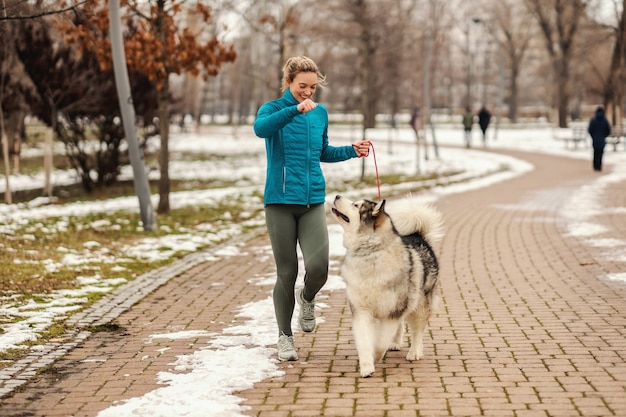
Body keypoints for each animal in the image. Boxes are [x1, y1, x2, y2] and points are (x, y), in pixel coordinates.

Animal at [330, 195, 442, 376]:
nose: (336, 196)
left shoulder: (392, 311)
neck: (370, 253)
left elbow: (381, 342)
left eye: (356, 205)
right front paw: (367, 366)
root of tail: (418, 235)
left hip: (419, 305)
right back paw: (395, 343)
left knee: (418, 330)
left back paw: (415, 352)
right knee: (401, 325)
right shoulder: (361, 311)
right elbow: (364, 340)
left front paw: (376, 357)